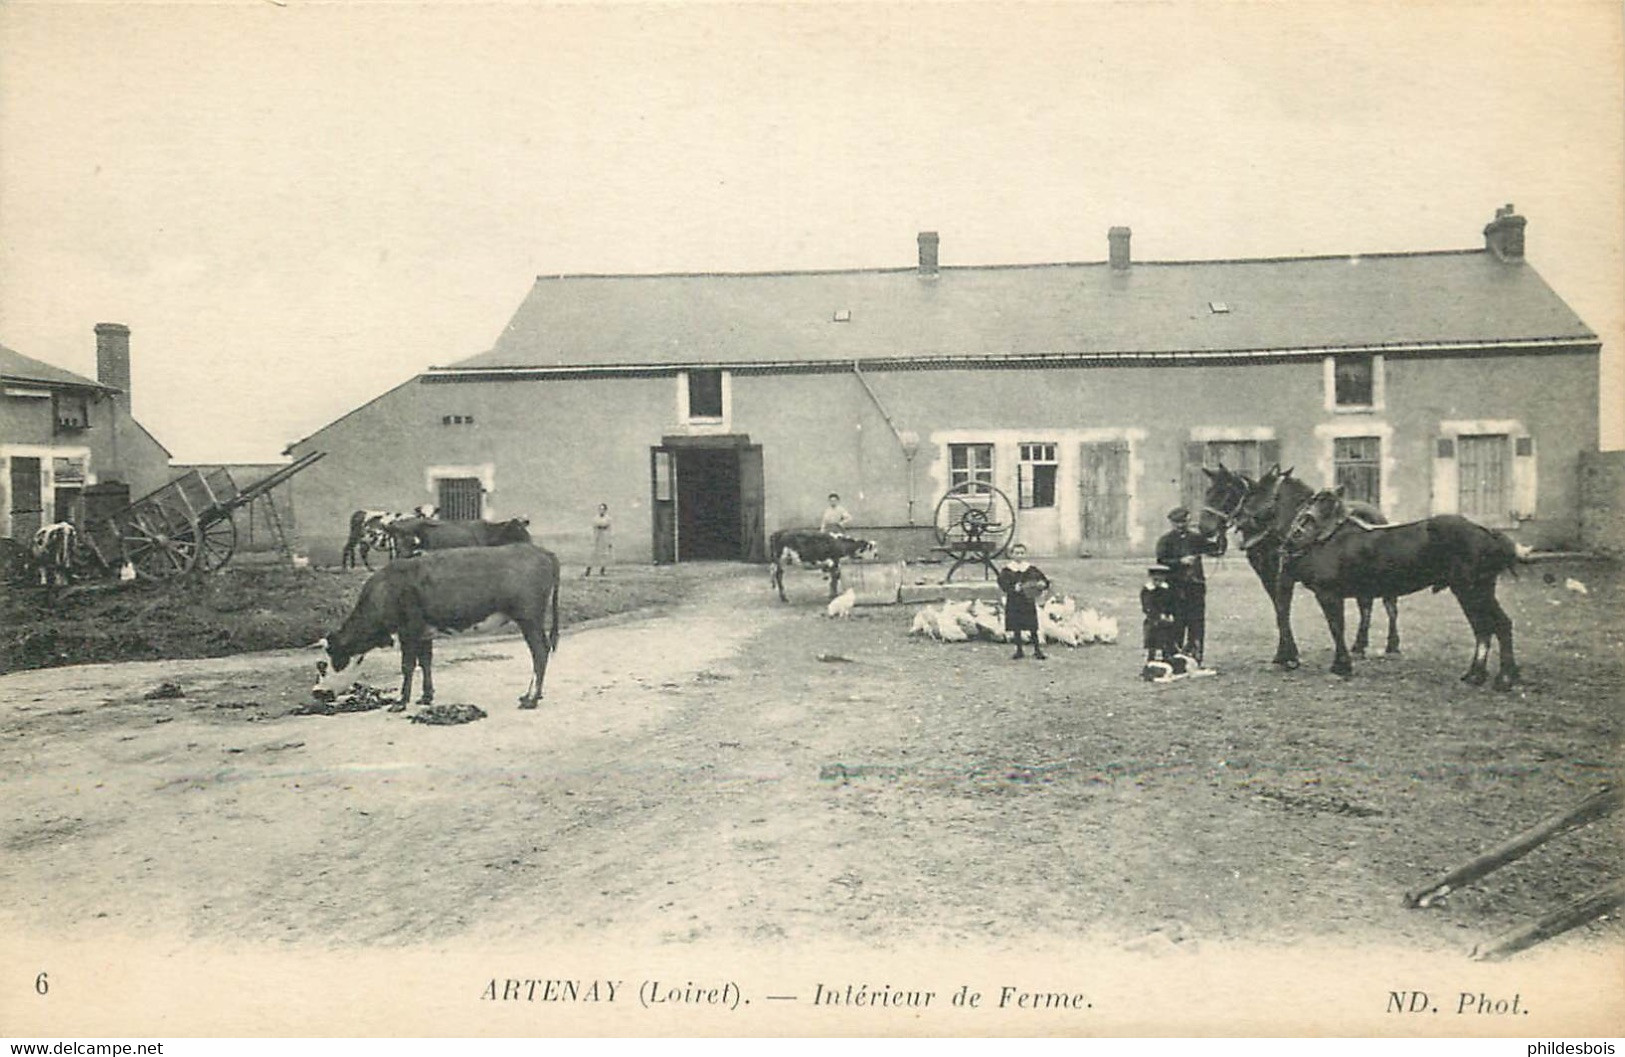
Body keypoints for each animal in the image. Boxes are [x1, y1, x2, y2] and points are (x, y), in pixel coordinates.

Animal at [313, 543, 562, 709]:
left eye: (323, 665)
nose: (317, 693)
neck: (385, 590)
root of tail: (542, 551)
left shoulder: (407, 629)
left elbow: (407, 665)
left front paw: (400, 702)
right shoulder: (424, 631)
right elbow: (425, 662)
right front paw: (426, 697)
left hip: (529, 618)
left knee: (540, 651)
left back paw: (530, 698)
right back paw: (533, 696)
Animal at [1202, 461, 1404, 666]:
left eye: (1227, 493)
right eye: (1208, 491)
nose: (1205, 528)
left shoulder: (1284, 576)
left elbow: (1283, 609)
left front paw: (1288, 655)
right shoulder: (1267, 577)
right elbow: (1279, 609)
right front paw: (1285, 652)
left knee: (1390, 606)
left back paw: (1391, 647)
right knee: (1366, 604)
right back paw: (1359, 646)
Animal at [1267, 481, 1521, 686]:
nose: (1286, 545)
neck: (1321, 537)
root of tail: (1488, 533)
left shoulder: (1327, 593)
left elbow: (1336, 628)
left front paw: (1341, 667)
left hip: (1471, 590)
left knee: (1495, 626)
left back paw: (1503, 679)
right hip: (1475, 591)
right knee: (1487, 628)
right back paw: (1478, 676)